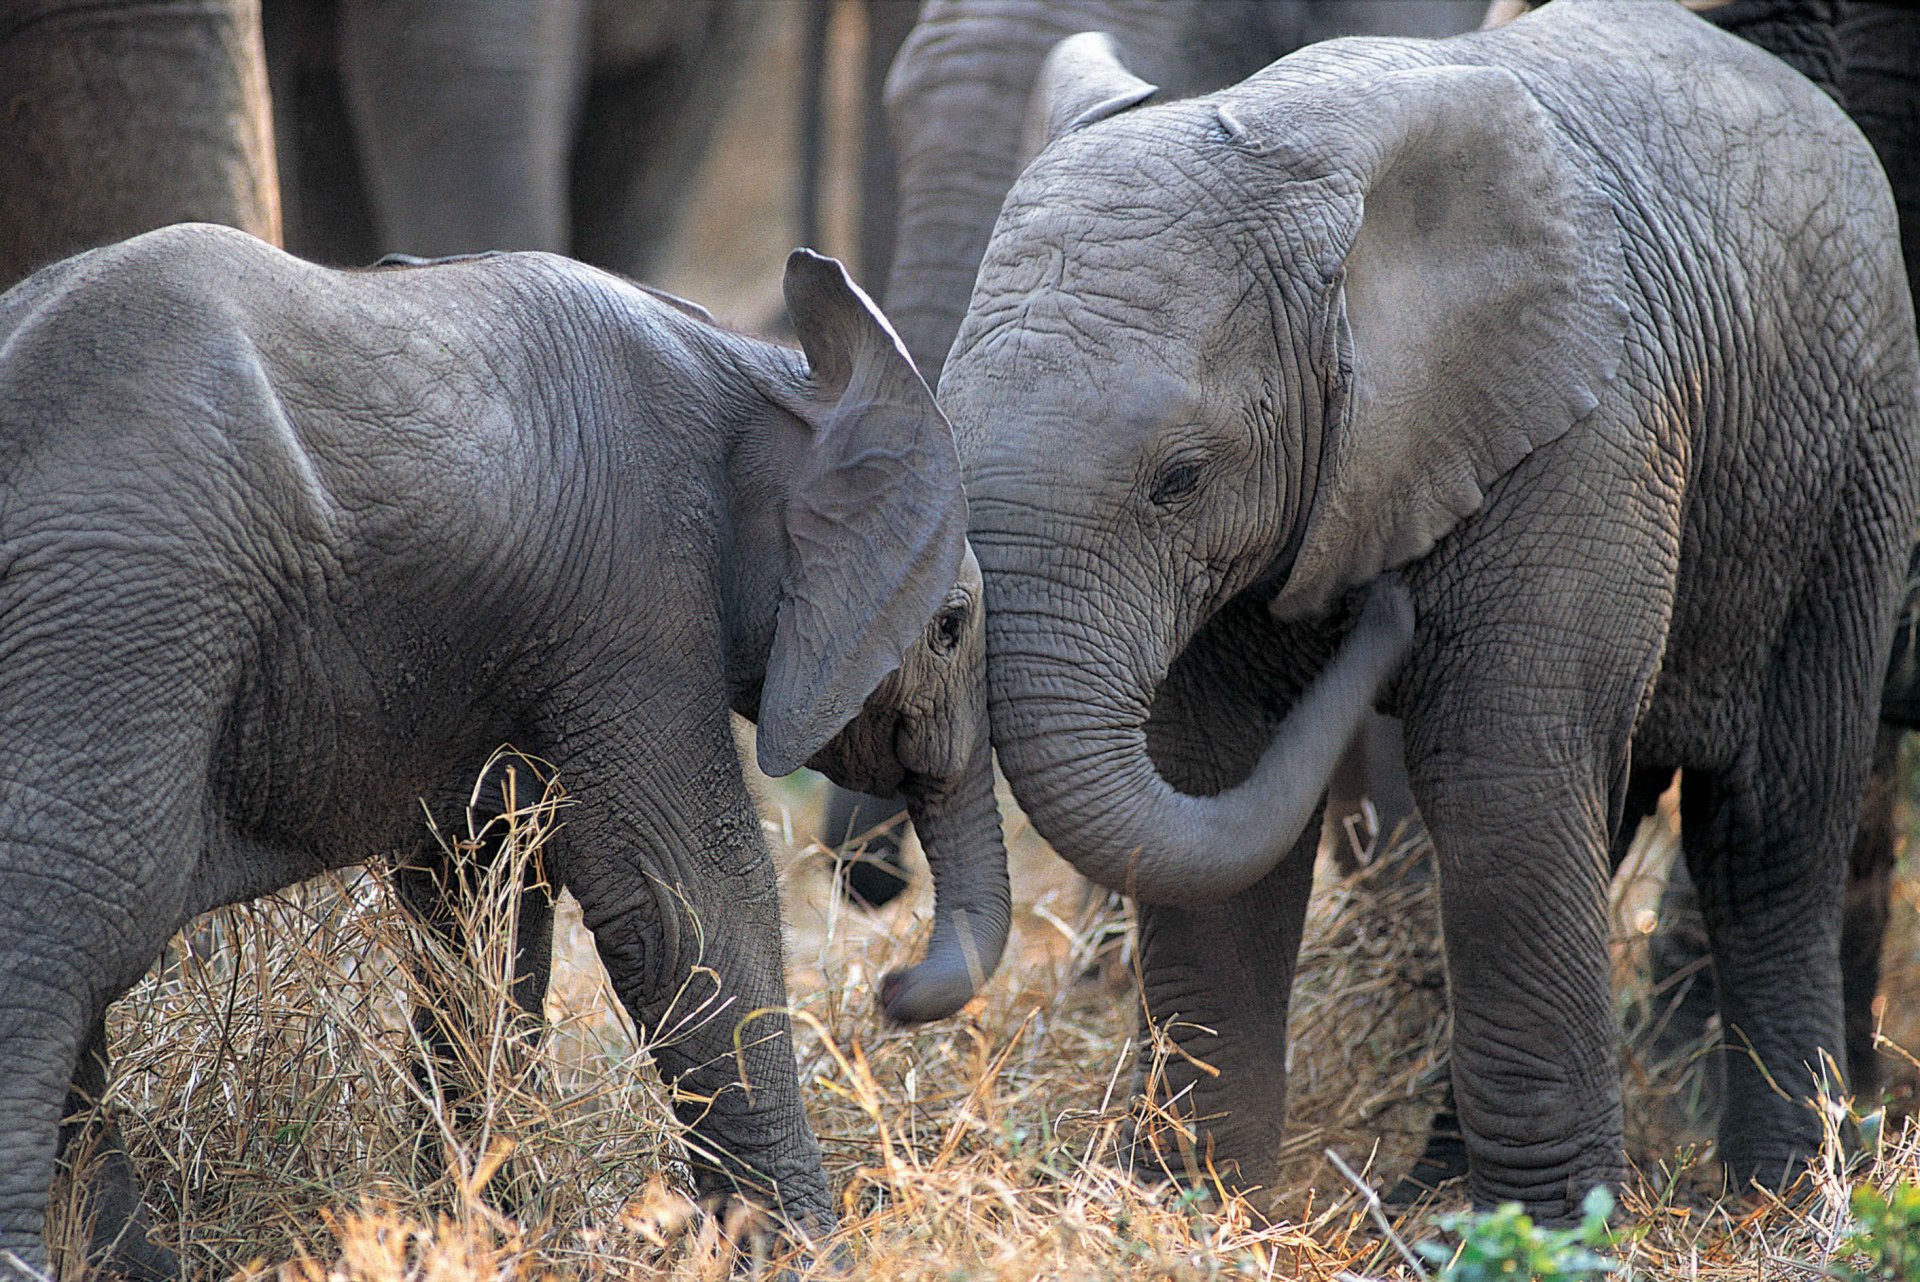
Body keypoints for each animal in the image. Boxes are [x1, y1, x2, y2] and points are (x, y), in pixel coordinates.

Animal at [0, 228, 1009, 1277]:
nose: (892, 989)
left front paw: (474, 1232)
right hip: (127, 611)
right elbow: (686, 901)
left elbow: (478, 908)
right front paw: (812, 1257)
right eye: (949, 628)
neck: (767, 372)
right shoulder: (636, 604)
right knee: (72, 920)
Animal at [939, 0, 1920, 1222]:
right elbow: (1218, 780)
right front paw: (1192, 1206)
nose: (1381, 613)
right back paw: (1433, 1191)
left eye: (1180, 478)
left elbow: (1501, 781)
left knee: (1769, 825)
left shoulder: (1586, 435)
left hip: (1855, 460)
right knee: (1604, 815)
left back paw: (1776, 1200)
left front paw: (1555, 1232)